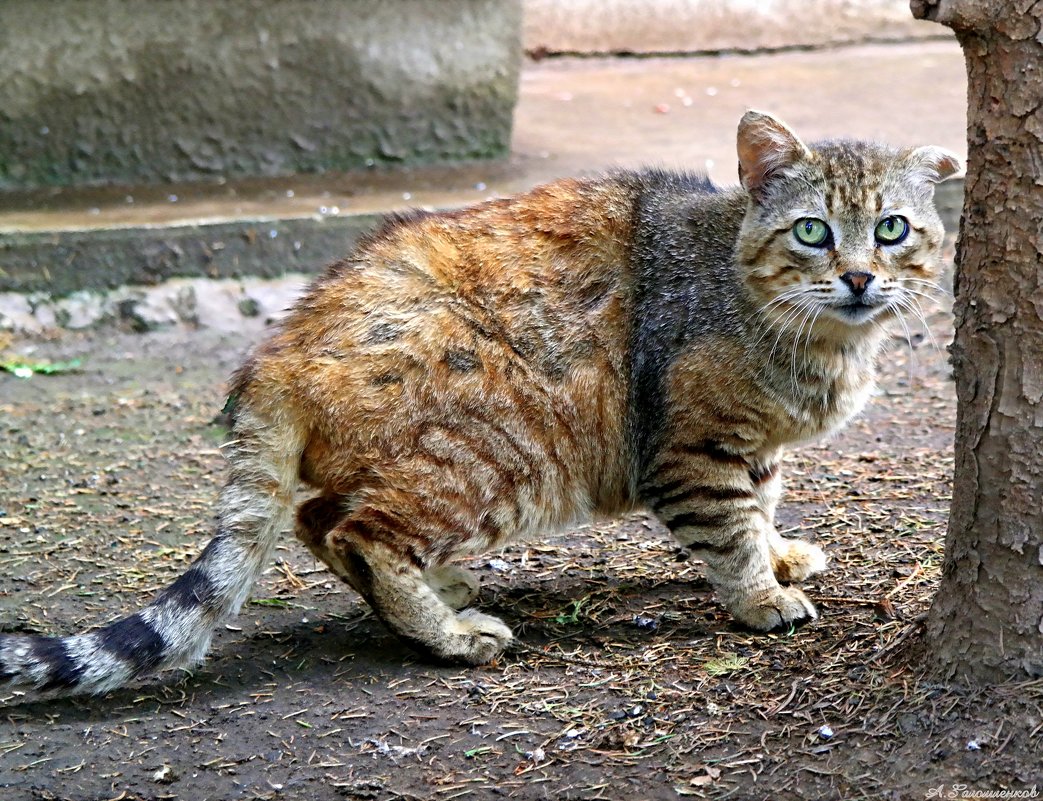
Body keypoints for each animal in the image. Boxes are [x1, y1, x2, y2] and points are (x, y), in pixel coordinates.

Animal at [0, 109, 959, 696]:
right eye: (811, 231)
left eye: (891, 229)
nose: (859, 275)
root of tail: (276, 347)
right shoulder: (690, 446)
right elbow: (728, 528)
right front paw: (760, 593)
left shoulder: (751, 446)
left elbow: (760, 503)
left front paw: (780, 554)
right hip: (505, 444)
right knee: (359, 530)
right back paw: (449, 631)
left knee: (317, 518)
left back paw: (437, 590)